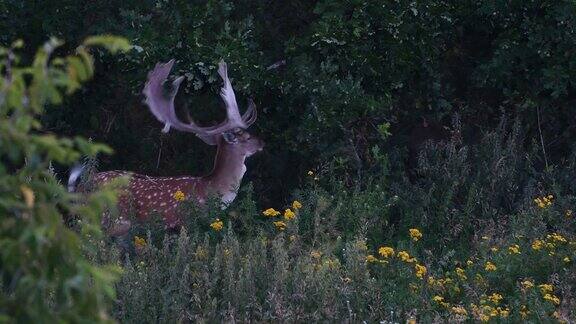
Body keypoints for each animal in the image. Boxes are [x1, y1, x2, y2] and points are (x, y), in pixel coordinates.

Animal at [69, 59, 264, 235]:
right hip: (108, 219)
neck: (211, 190)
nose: (262, 143)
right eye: (246, 137)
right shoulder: (186, 222)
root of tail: (81, 188)